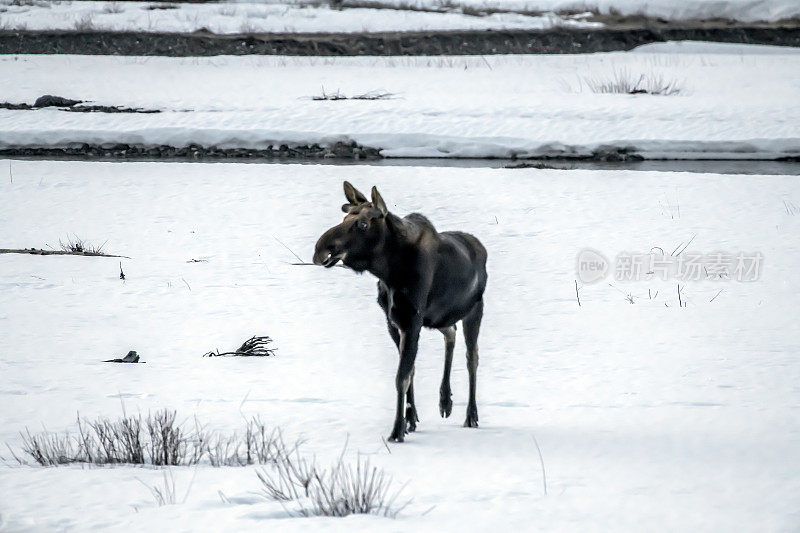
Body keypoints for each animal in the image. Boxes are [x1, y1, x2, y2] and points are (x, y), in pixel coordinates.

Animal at [312, 182, 488, 440]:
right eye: (345, 217)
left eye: (363, 224)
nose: (321, 249)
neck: (389, 271)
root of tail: (481, 248)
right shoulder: (393, 322)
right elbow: (410, 371)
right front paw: (410, 420)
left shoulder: (411, 321)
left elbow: (401, 377)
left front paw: (397, 430)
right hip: (440, 317)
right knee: (451, 333)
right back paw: (445, 400)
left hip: (474, 309)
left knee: (472, 357)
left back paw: (471, 415)